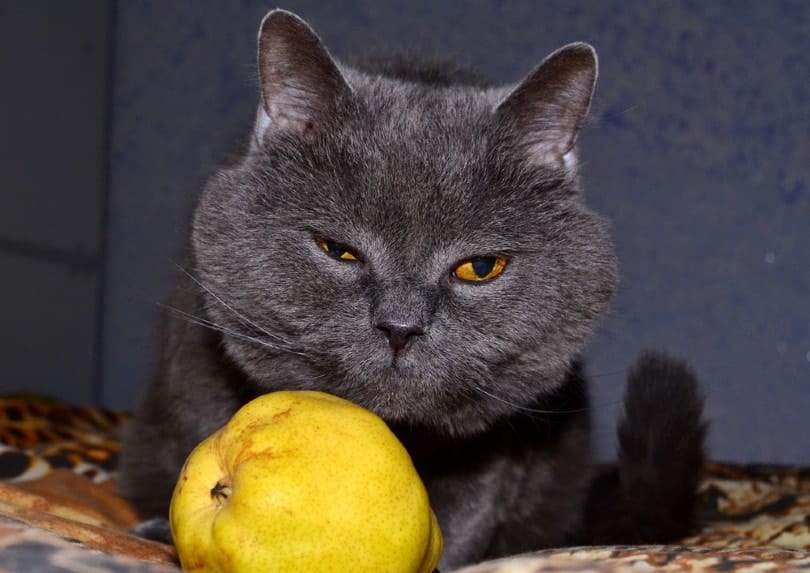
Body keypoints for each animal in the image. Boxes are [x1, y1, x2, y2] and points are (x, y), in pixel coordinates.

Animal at [117, 8, 704, 568]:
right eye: (337, 249)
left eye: (480, 267)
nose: (400, 327)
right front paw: (155, 531)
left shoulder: (493, 459)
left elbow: (464, 522)